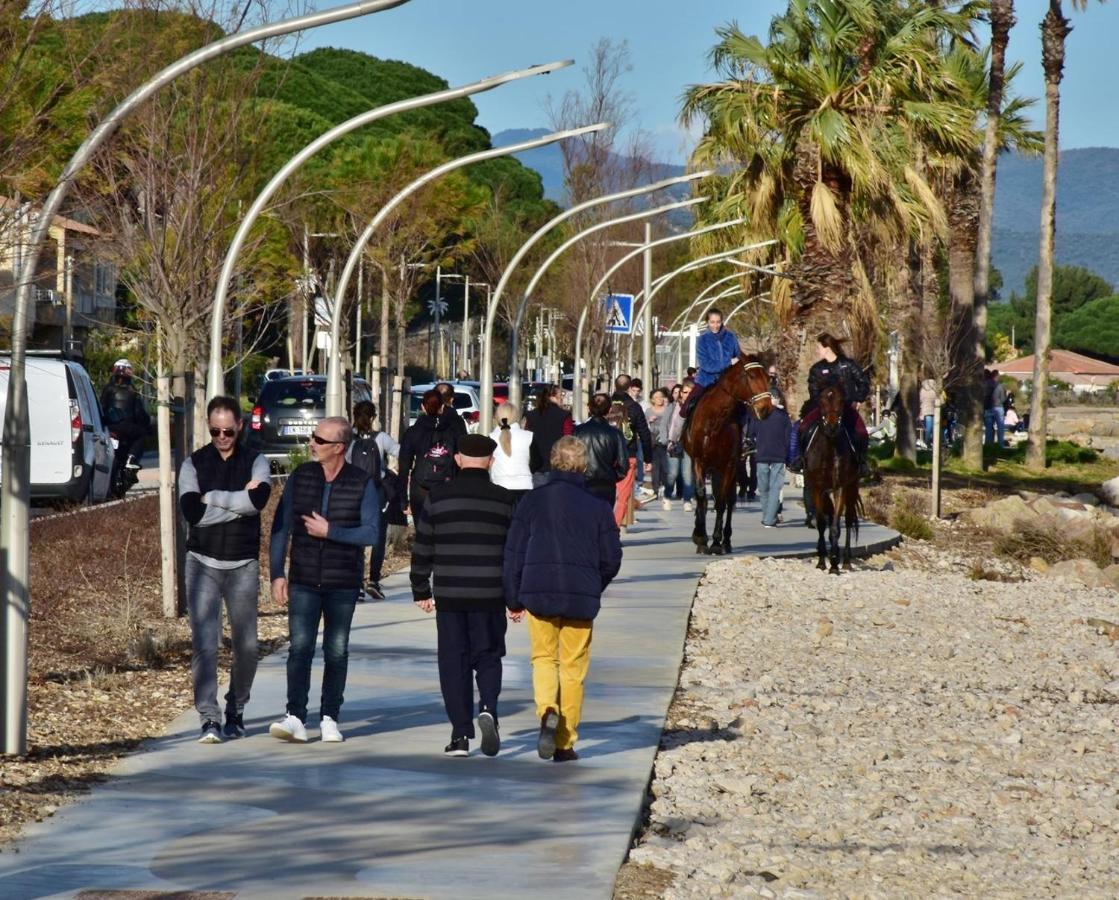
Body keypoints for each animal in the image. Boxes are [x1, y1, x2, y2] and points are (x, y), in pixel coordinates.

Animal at [684, 355, 774, 555]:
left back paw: (726, 541)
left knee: (730, 500)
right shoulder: (698, 462)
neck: (716, 420)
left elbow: (721, 502)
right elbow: (701, 496)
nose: (766, 409)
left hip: (732, 468)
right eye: (751, 376)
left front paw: (716, 542)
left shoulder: (729, 465)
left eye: (768, 377)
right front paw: (700, 537)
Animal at [805, 382, 863, 573]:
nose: (831, 427)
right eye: (822, 401)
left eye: (841, 401)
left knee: (849, 519)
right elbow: (822, 523)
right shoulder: (817, 488)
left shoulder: (840, 488)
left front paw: (835, 565)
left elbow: (836, 526)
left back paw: (845, 560)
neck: (829, 450)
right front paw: (822, 560)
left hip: (852, 487)